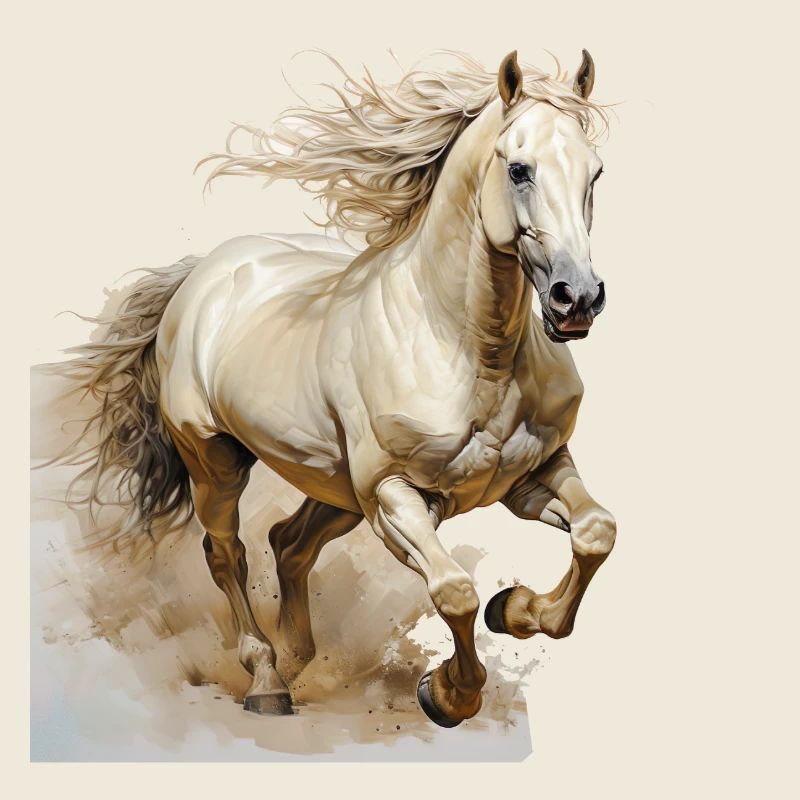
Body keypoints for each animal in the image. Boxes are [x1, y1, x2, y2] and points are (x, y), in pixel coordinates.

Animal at [58, 49, 616, 728]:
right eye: (519, 169)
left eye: (595, 172)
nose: (576, 298)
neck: (469, 352)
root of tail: (202, 274)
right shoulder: (394, 497)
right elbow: (454, 590)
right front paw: (447, 694)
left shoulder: (531, 475)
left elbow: (596, 532)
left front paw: (514, 609)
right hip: (217, 462)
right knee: (228, 553)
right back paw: (267, 680)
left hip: (332, 485)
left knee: (288, 544)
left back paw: (299, 657)